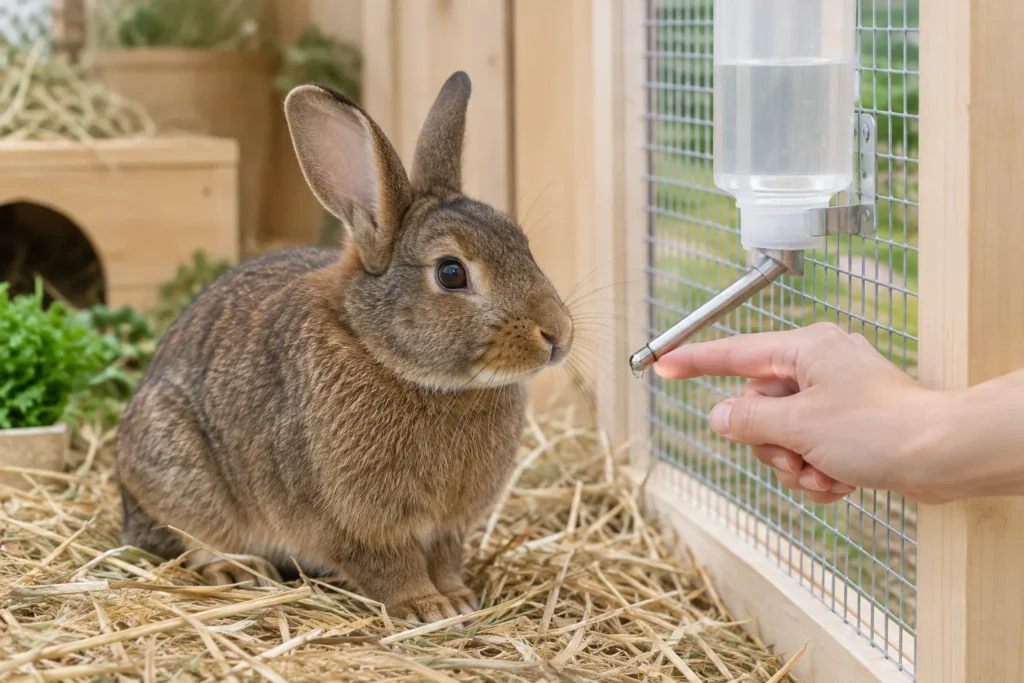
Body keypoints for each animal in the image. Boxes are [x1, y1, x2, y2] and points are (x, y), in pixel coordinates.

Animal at [114, 71, 574, 623]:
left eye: (522, 244)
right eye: (451, 273)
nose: (557, 334)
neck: (384, 353)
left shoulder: (448, 526)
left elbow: (444, 559)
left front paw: (458, 599)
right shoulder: (352, 521)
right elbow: (391, 566)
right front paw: (425, 608)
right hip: (175, 462)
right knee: (195, 536)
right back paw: (240, 570)